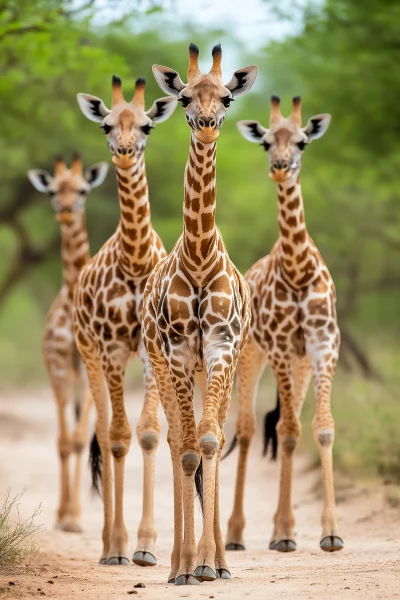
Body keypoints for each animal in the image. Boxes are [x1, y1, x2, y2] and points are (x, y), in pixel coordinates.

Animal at [225, 97, 344, 552]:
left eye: (302, 142)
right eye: (265, 143)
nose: (279, 165)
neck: (297, 268)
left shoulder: (324, 344)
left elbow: (321, 428)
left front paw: (330, 532)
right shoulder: (276, 346)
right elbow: (289, 430)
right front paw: (286, 532)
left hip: (299, 363)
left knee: (283, 424)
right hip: (250, 357)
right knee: (246, 430)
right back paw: (237, 534)